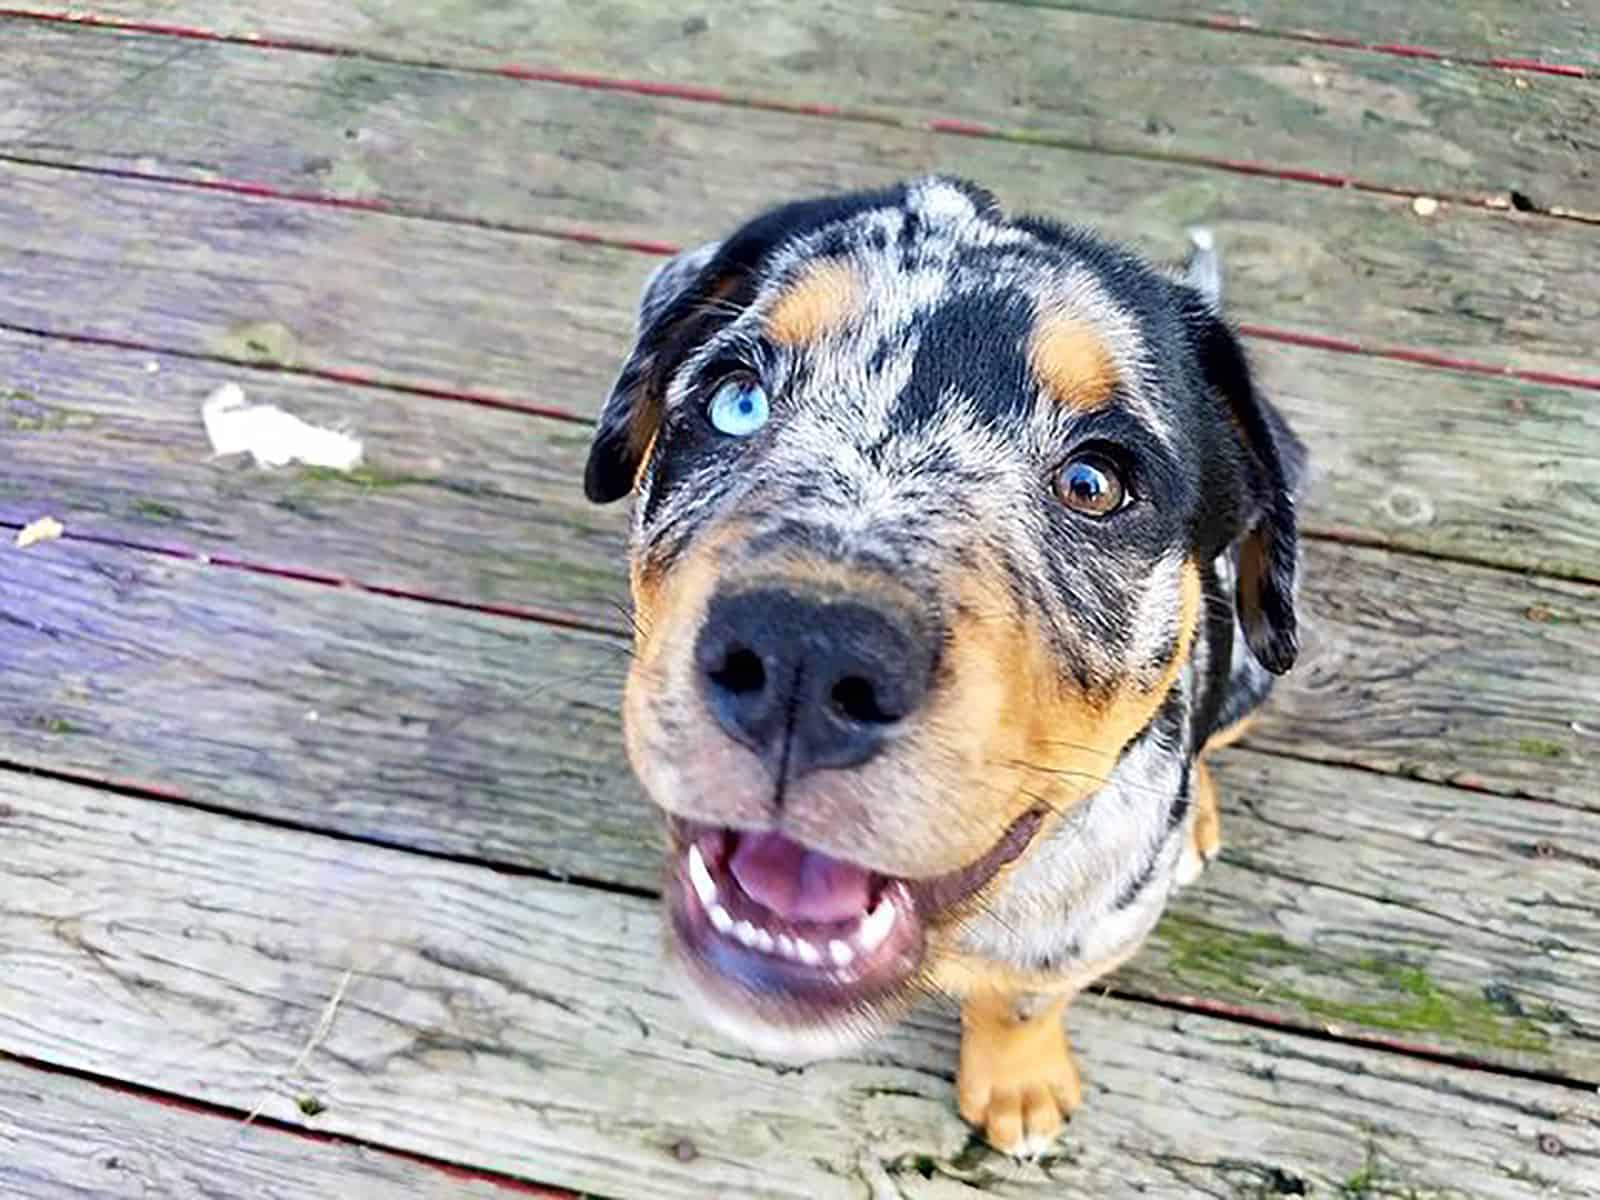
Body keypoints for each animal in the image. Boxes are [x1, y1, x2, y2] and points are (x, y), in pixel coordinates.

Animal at [582, 176, 1305, 1158]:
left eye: (1095, 484)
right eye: (737, 399)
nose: (806, 656)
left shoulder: (1089, 928)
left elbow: (1026, 999)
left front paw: (1019, 1086)